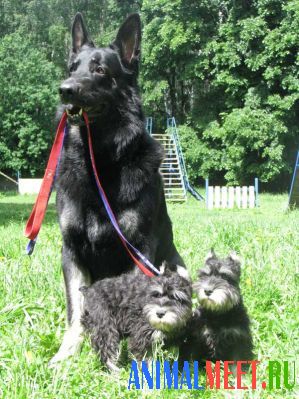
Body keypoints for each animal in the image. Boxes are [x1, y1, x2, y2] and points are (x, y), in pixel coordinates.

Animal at [49, 14, 185, 366]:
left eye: (99, 70)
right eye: (72, 68)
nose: (65, 89)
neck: (100, 162)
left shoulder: (139, 250)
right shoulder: (71, 252)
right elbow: (75, 312)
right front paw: (67, 354)